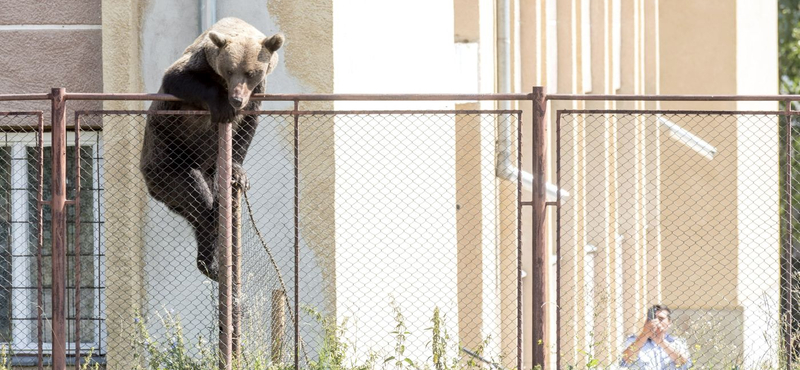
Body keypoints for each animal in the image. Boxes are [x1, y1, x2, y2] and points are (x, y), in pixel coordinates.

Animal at [140, 16, 284, 280]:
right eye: (229, 70)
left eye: (251, 72)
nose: (237, 98)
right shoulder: (196, 65)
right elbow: (177, 77)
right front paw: (224, 106)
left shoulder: (258, 92)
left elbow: (246, 128)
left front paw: (239, 171)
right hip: (166, 157)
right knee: (198, 201)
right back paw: (211, 263)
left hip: (206, 171)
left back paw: (215, 263)